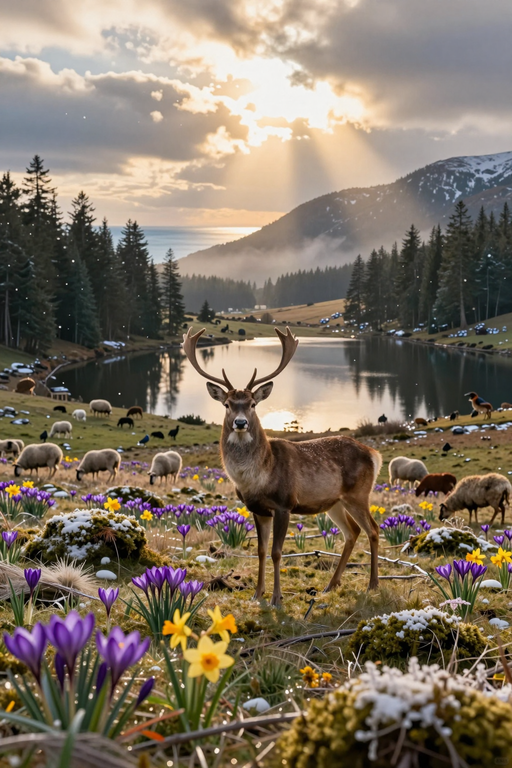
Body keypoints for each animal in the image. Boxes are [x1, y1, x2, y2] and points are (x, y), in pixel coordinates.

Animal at [183, 326, 383, 607]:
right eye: (227, 405)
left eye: (253, 404)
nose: (241, 423)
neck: (257, 478)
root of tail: (374, 454)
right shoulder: (258, 509)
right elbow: (261, 550)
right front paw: (257, 594)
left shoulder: (284, 503)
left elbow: (277, 552)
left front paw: (277, 598)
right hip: (335, 502)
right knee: (352, 532)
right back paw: (330, 585)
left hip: (358, 494)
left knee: (373, 530)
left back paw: (372, 584)